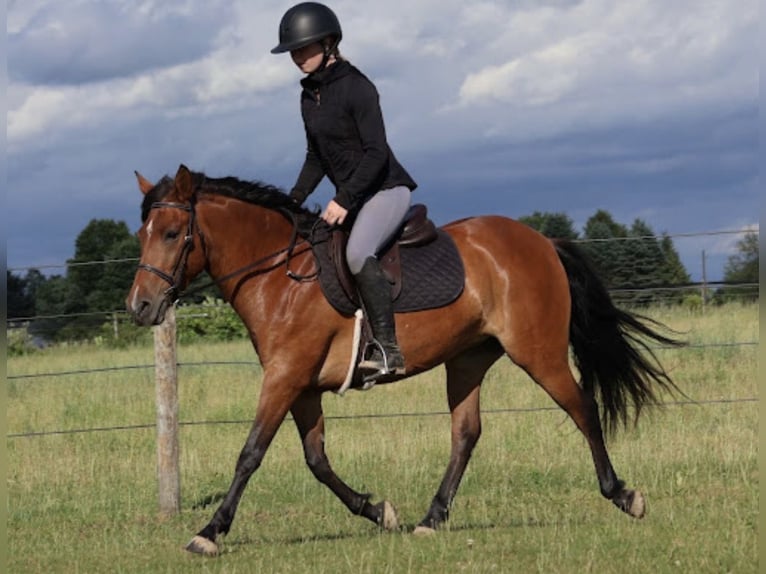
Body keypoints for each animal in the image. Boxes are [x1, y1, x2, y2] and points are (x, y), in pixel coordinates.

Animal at [126, 164, 681, 556]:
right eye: (142, 235)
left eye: (172, 234)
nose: (140, 307)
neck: (279, 275)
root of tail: (542, 240)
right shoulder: (301, 385)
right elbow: (316, 460)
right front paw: (378, 511)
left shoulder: (284, 379)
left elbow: (250, 453)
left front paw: (209, 532)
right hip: (468, 359)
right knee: (466, 432)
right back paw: (431, 519)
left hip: (537, 352)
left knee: (582, 407)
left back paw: (623, 495)